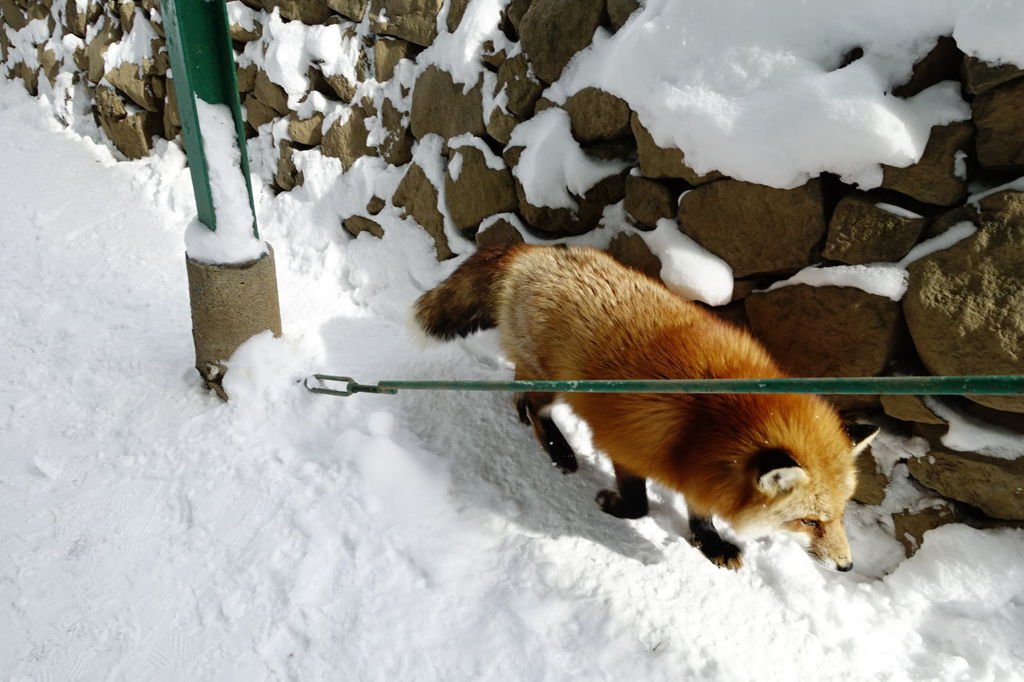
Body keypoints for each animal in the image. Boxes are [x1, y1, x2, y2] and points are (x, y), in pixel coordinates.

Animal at [411, 244, 876, 569]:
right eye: (810, 521)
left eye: (838, 516)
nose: (846, 566)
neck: (710, 420)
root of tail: (535, 251)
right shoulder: (629, 443)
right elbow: (640, 504)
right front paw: (614, 506)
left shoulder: (701, 471)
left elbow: (700, 512)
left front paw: (710, 543)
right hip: (553, 383)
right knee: (531, 402)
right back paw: (559, 450)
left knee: (518, 392)